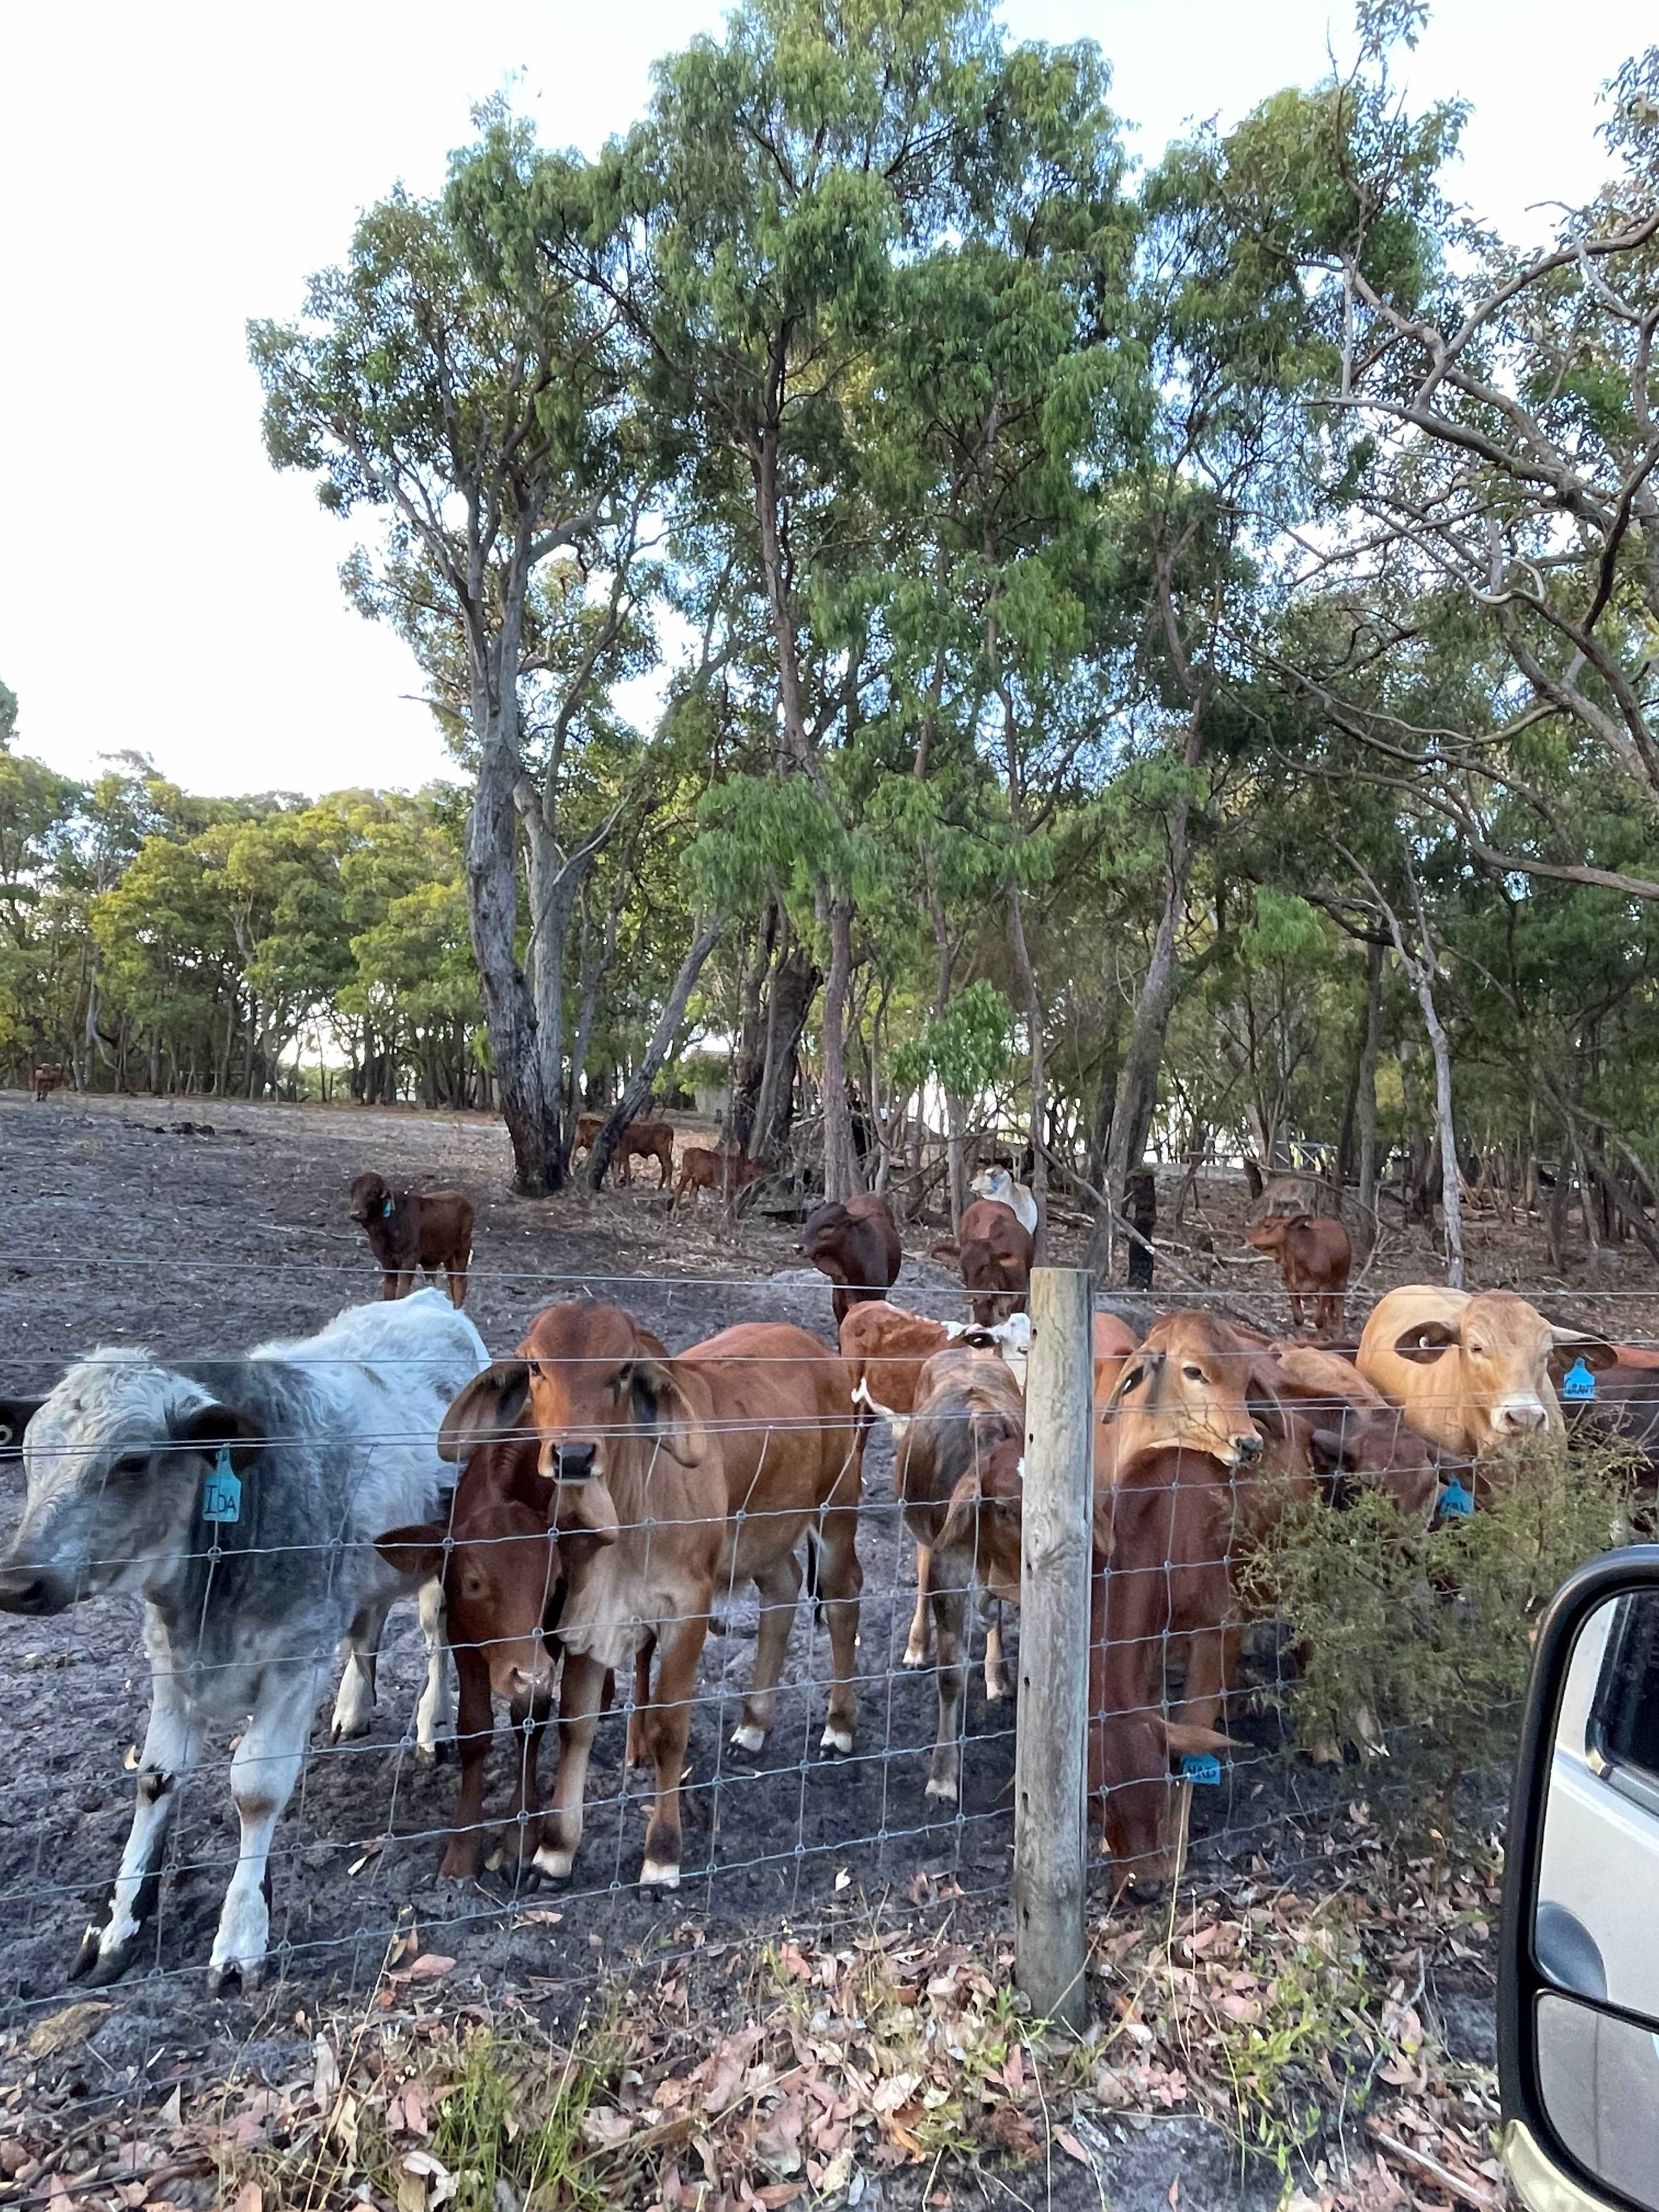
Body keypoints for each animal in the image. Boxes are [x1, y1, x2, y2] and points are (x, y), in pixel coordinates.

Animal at [0, 1289, 486, 1991]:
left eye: (133, 1462)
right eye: (31, 1456)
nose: (19, 1581)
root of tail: (428, 1299)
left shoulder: (293, 1660)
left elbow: (256, 1788)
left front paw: (240, 1935)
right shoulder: (169, 1661)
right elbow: (155, 1778)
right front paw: (118, 1924)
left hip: (450, 1558)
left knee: (435, 1640)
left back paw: (434, 1726)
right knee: (366, 1628)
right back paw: (353, 1707)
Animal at [348, 1172, 474, 1306]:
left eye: (374, 1192)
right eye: (353, 1192)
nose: (356, 1213)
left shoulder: (409, 1260)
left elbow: (402, 1291)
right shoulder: (387, 1262)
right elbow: (389, 1291)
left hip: (462, 1249)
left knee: (460, 1281)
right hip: (448, 1256)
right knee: (452, 1280)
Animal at [1246, 1213, 1353, 1336]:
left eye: (1267, 1225)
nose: (1248, 1238)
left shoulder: (1324, 1286)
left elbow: (1319, 1320)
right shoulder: (1291, 1285)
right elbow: (1299, 1318)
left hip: (1341, 1280)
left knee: (1339, 1308)